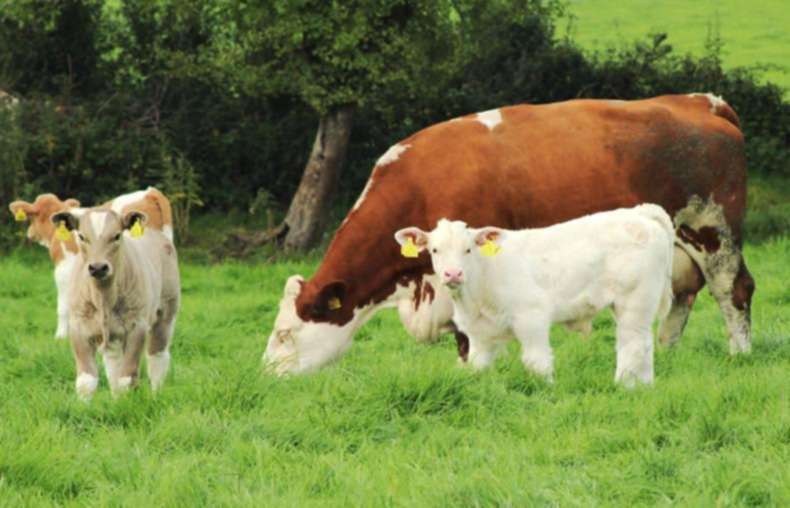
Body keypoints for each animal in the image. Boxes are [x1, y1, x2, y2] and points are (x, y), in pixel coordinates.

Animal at [9, 187, 173, 339]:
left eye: (32, 216)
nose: (30, 233)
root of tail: (149, 192)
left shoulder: (64, 269)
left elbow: (63, 305)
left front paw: (61, 336)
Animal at [50, 208, 180, 401]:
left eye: (117, 235)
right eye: (81, 236)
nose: (98, 267)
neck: (103, 298)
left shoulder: (137, 327)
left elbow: (127, 378)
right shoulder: (78, 327)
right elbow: (86, 381)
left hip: (166, 312)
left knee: (157, 356)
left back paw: (156, 394)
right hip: (114, 334)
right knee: (113, 364)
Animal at [394, 205, 674, 386]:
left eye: (468, 249)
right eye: (435, 250)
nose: (453, 274)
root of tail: (640, 213)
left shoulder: (531, 318)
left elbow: (536, 362)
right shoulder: (479, 335)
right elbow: (477, 367)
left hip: (635, 301)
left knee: (633, 345)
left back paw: (623, 386)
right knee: (643, 345)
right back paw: (644, 386)